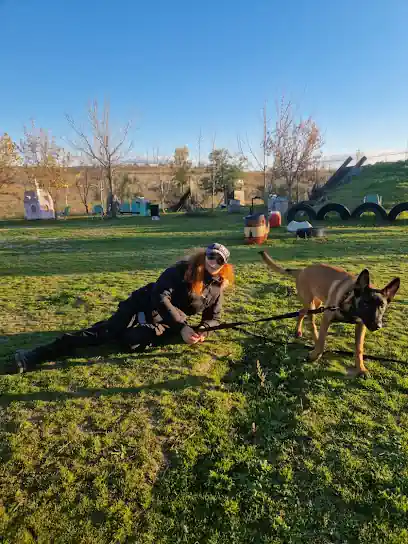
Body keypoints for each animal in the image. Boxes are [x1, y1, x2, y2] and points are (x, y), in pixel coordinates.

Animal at [260, 250, 400, 374]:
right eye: (365, 303)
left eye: (382, 306)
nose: (377, 326)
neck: (349, 303)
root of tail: (302, 270)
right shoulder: (327, 317)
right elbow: (322, 343)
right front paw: (314, 356)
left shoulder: (361, 325)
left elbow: (359, 348)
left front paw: (361, 369)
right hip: (311, 304)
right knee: (310, 322)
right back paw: (311, 337)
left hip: (318, 303)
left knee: (301, 312)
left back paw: (300, 331)